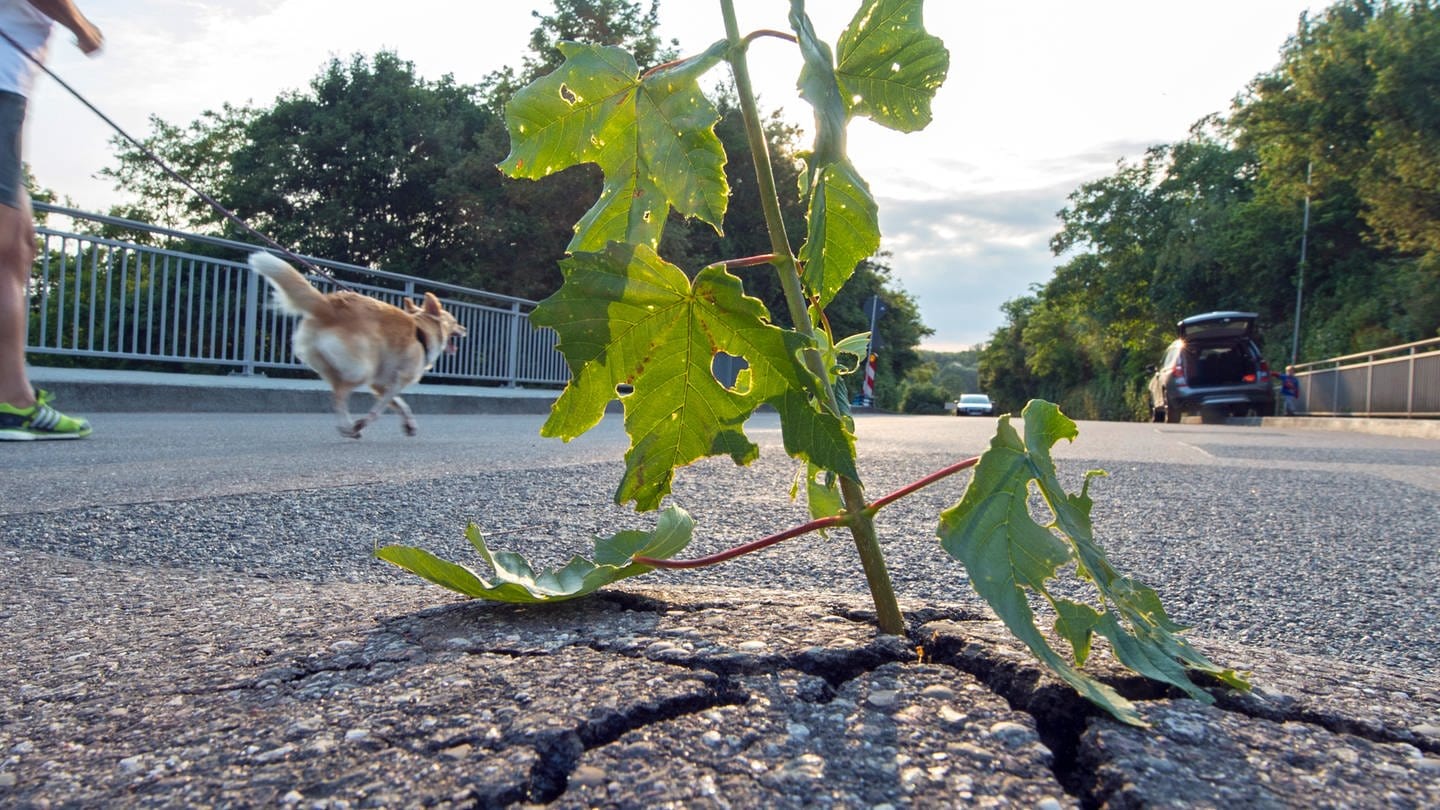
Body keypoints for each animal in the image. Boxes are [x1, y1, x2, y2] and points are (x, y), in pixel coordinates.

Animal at [247, 253, 466, 438]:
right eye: (455, 321)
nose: (465, 329)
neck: (421, 330)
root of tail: (329, 306)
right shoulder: (398, 380)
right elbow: (380, 408)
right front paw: (364, 422)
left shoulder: (380, 384)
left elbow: (400, 404)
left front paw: (409, 425)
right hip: (362, 370)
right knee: (340, 395)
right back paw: (349, 427)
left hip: (335, 367)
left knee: (337, 394)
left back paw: (347, 426)